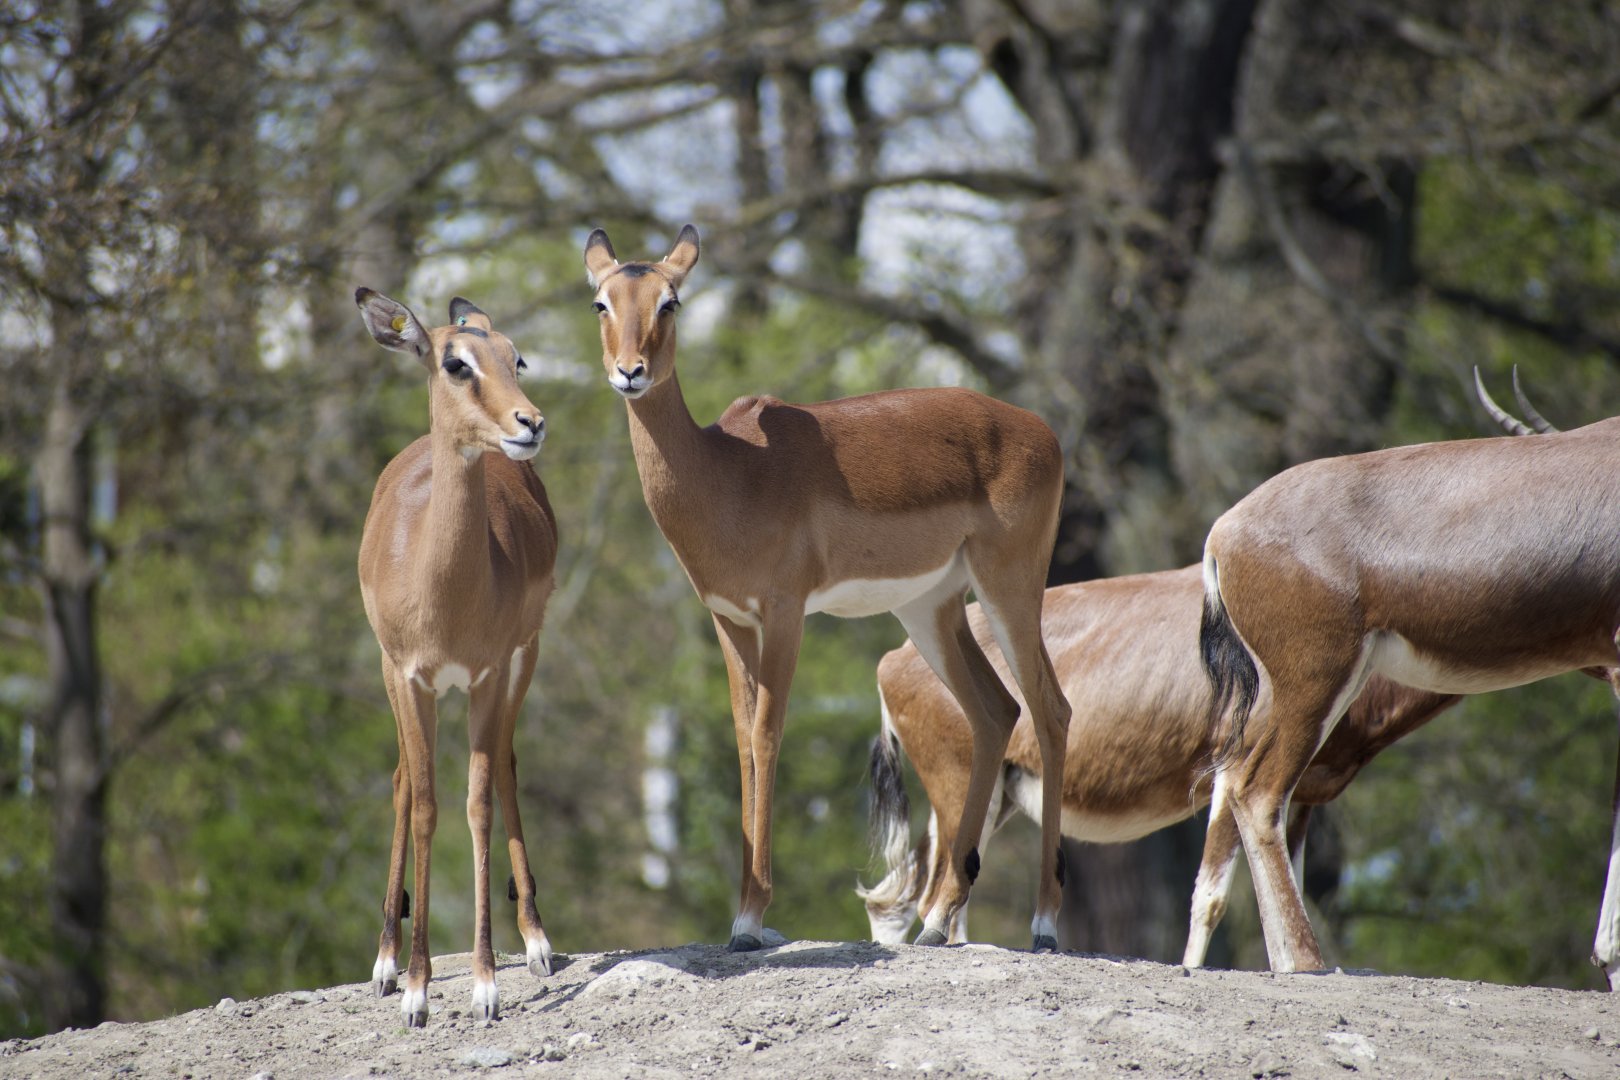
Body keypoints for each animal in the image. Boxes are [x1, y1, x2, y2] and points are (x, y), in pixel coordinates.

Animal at [355, 289, 558, 1026]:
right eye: (455, 362)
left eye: (516, 357)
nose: (530, 422)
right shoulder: (409, 676)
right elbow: (423, 807)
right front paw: (415, 989)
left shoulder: (487, 675)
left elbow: (476, 804)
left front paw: (485, 982)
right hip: (397, 682)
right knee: (402, 782)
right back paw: (385, 961)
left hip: (526, 658)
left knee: (505, 767)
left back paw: (536, 940)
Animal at [583, 225, 1074, 951]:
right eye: (602, 301)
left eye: (671, 301)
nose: (629, 372)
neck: (730, 473)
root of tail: (1043, 431)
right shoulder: (728, 619)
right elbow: (741, 740)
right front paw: (745, 913)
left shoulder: (786, 612)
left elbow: (767, 733)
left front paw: (750, 919)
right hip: (929, 607)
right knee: (995, 711)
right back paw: (935, 921)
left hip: (1009, 586)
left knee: (1050, 710)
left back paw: (1043, 924)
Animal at [859, 564, 1460, 962]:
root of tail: (892, 660)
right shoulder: (1232, 774)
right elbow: (1210, 898)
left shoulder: (1302, 798)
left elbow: (1284, 883)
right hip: (960, 792)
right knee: (931, 894)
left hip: (990, 801)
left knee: (908, 897)